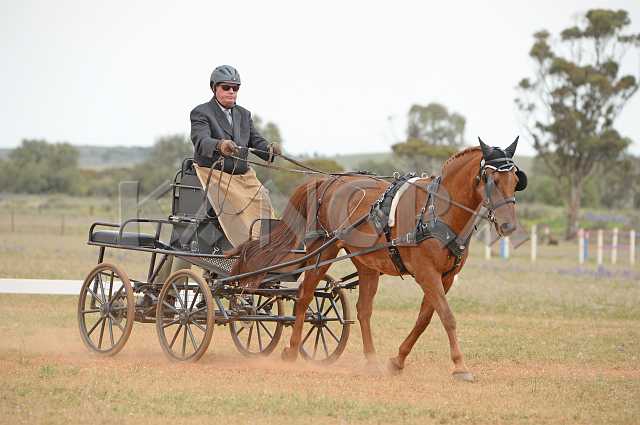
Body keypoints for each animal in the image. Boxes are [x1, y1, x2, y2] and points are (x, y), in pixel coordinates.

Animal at [229, 137, 527, 381]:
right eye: (491, 180)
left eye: (515, 181)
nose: (508, 226)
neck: (436, 211)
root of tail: (327, 181)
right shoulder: (426, 273)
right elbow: (447, 316)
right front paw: (460, 367)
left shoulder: (446, 276)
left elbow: (425, 318)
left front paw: (397, 361)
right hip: (322, 250)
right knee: (304, 296)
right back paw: (291, 351)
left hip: (366, 264)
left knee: (363, 310)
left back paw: (371, 360)